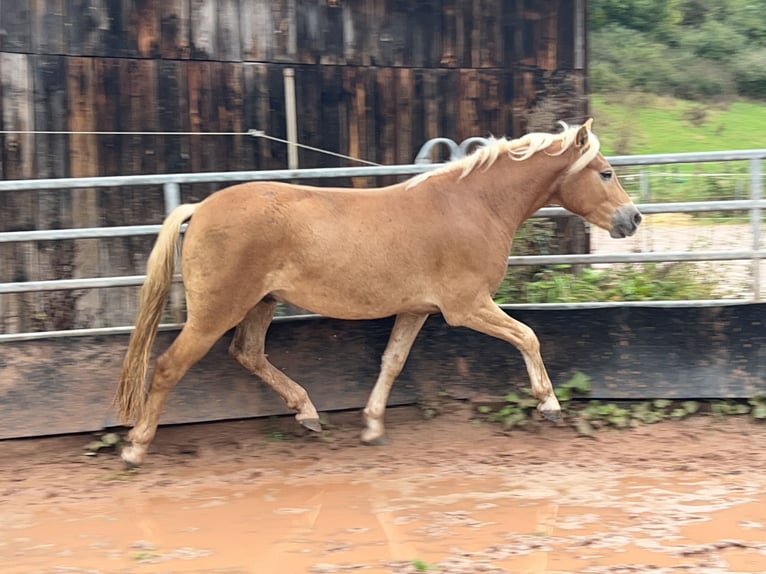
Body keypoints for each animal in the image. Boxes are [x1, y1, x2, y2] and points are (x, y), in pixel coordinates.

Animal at [114, 120, 640, 468]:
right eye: (605, 172)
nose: (633, 218)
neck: (473, 206)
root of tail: (200, 208)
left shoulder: (417, 310)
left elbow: (392, 362)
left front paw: (371, 426)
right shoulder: (466, 306)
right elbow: (528, 336)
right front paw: (549, 405)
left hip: (260, 303)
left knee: (248, 354)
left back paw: (307, 413)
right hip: (216, 311)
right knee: (168, 367)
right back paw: (136, 446)